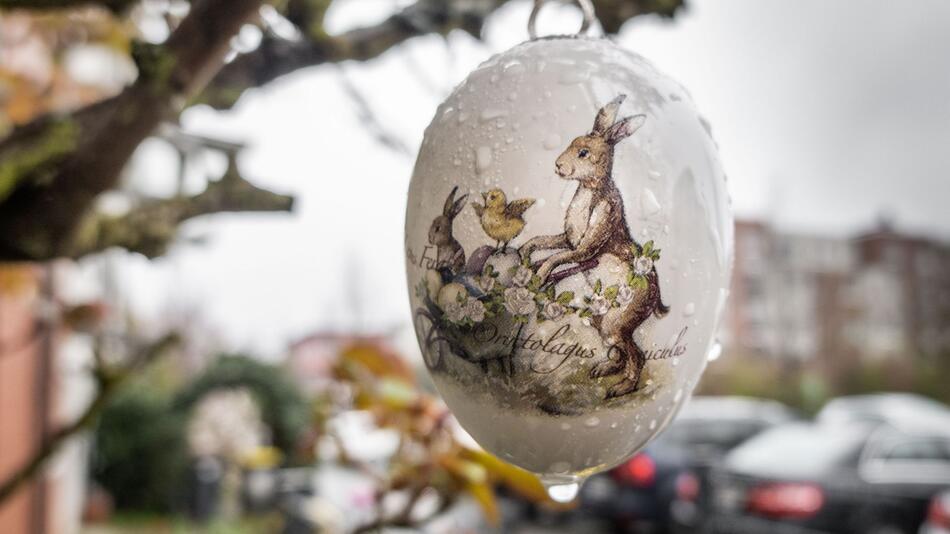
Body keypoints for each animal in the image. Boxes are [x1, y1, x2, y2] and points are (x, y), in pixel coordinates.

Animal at [520, 94, 668, 400]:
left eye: (584, 153)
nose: (558, 166)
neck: (589, 188)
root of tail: (655, 298)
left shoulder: (587, 245)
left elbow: (559, 257)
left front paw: (540, 274)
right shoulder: (568, 238)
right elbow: (545, 242)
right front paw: (525, 252)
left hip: (615, 324)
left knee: (637, 355)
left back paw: (621, 388)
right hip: (604, 322)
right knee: (621, 353)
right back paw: (602, 369)